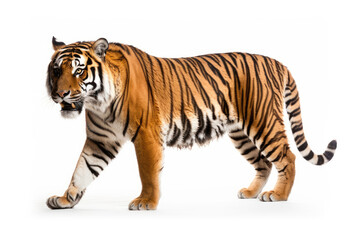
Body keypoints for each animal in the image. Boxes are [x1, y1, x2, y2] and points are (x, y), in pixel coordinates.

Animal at [45, 37, 338, 210]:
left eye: (79, 71)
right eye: (57, 70)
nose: (60, 94)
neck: (98, 102)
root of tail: (278, 63)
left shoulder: (146, 134)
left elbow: (147, 172)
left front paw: (146, 202)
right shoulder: (100, 140)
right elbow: (81, 170)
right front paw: (66, 199)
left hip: (263, 122)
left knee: (287, 157)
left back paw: (278, 195)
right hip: (241, 134)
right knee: (264, 163)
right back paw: (250, 193)